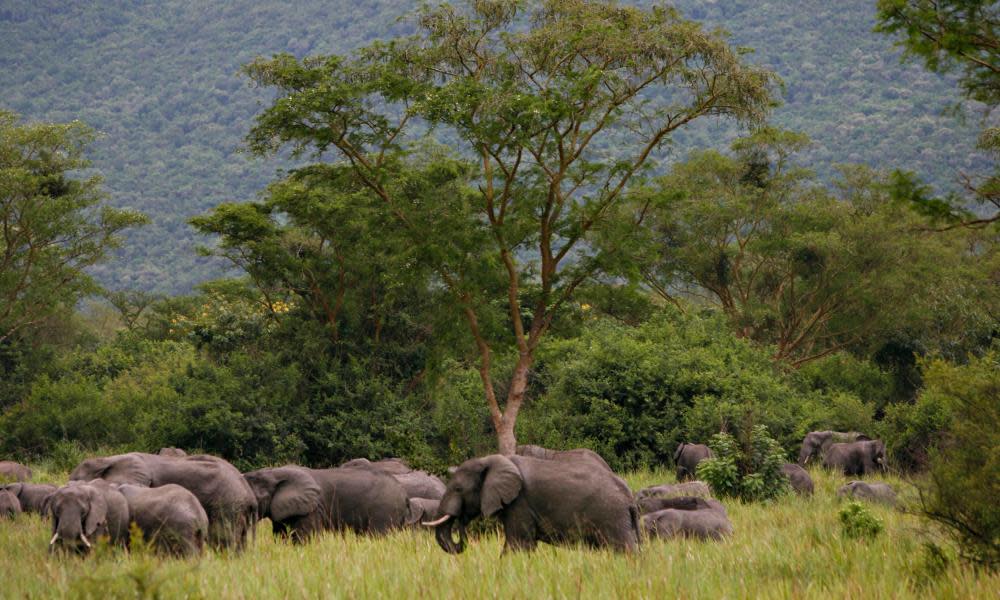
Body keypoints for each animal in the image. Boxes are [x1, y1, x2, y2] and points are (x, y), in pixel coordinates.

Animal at [244, 462, 408, 540]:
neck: (274, 472)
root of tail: (403, 494)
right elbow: (280, 536)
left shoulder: (312, 509)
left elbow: (305, 538)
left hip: (384, 508)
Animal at [426, 454, 636, 552]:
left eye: (458, 489)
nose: (461, 521)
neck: (489, 459)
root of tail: (629, 497)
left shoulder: (520, 502)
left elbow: (518, 544)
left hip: (612, 516)